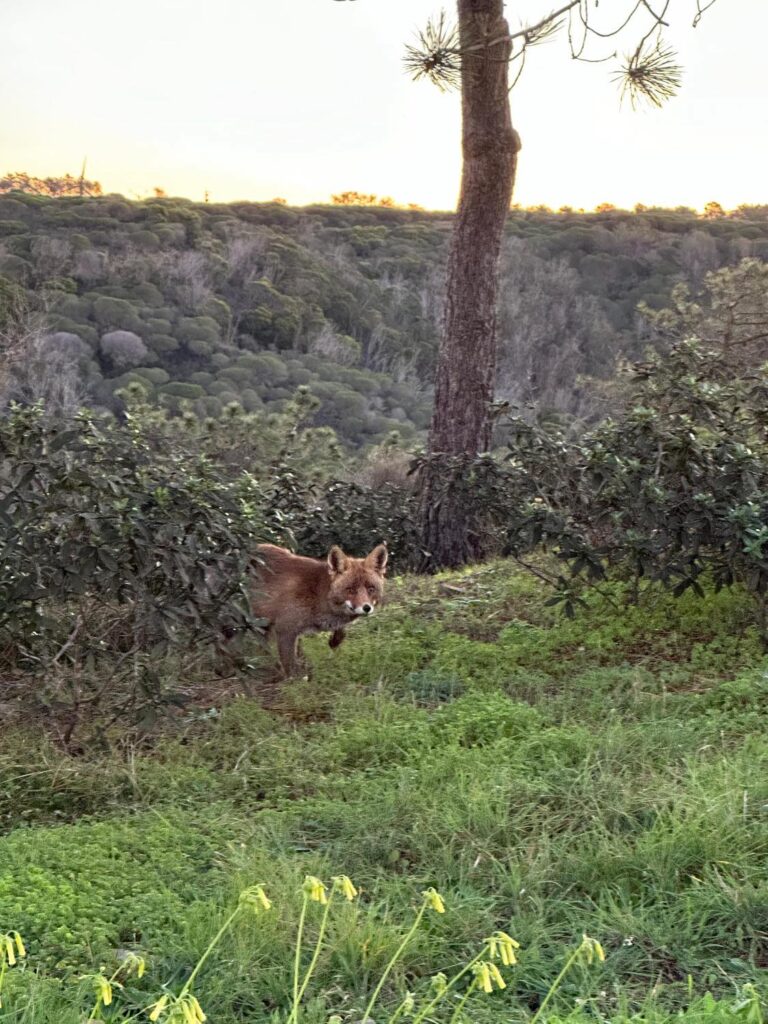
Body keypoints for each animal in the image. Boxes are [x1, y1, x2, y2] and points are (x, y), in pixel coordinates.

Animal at [252, 540, 387, 675]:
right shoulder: (285, 629)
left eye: (371, 589)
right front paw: (295, 679)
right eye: (351, 590)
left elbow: (340, 635)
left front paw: (334, 642)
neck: (318, 593)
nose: (366, 608)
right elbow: (289, 665)